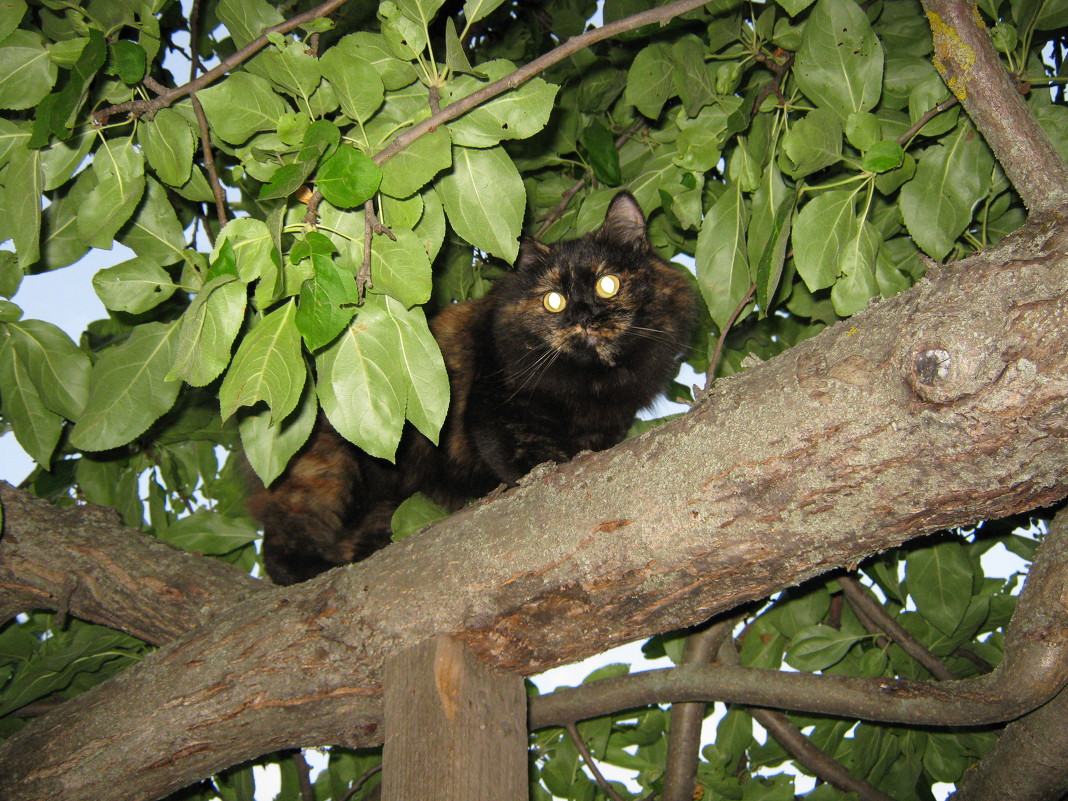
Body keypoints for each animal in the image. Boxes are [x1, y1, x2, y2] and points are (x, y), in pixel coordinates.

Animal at [249, 191, 700, 585]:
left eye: (608, 285)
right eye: (553, 301)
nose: (583, 316)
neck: (593, 387)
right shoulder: (500, 408)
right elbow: (536, 457)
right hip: (327, 476)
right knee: (283, 549)